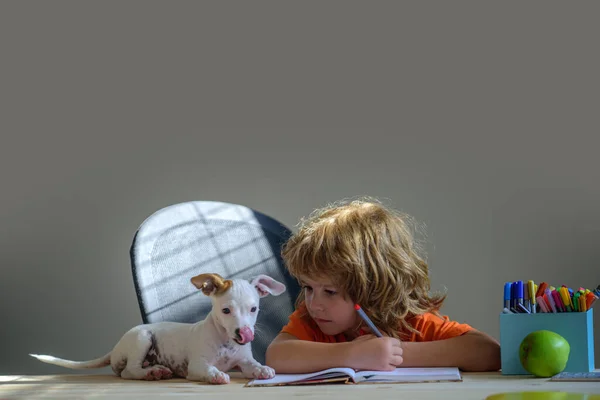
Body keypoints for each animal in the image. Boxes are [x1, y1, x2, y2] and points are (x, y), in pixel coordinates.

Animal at [30, 272, 286, 384]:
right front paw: (216, 375)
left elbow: (253, 366)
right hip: (142, 339)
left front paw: (263, 370)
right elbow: (209, 369)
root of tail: (115, 349)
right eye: (225, 311)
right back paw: (151, 373)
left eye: (253, 309)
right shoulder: (197, 365)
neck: (225, 342)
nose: (245, 334)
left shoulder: (243, 360)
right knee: (128, 371)